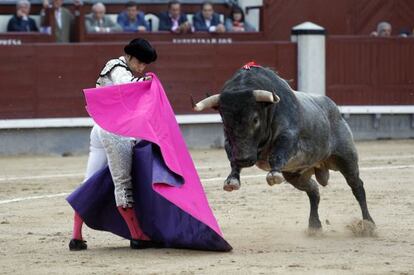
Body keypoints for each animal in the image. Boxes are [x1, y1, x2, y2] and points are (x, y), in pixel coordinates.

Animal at [194, 64, 376, 231]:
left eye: (255, 119)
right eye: (225, 121)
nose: (244, 159)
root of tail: (335, 110)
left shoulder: (288, 135)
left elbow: (277, 152)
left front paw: (274, 174)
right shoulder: (230, 142)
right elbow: (232, 156)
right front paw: (232, 180)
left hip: (346, 158)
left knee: (357, 186)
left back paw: (369, 224)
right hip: (295, 175)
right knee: (313, 190)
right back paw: (314, 226)